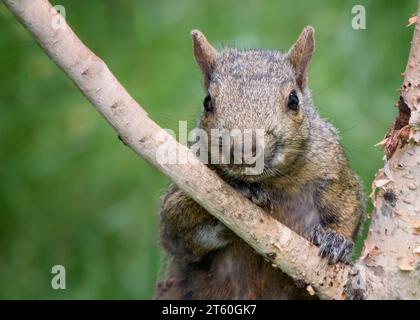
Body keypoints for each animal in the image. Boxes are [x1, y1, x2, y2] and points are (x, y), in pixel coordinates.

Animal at [154, 27, 364, 300]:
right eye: (207, 101)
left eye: (294, 100)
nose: (245, 151)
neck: (271, 182)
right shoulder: (187, 182)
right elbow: (175, 227)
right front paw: (238, 189)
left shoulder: (331, 166)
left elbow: (349, 204)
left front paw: (335, 239)